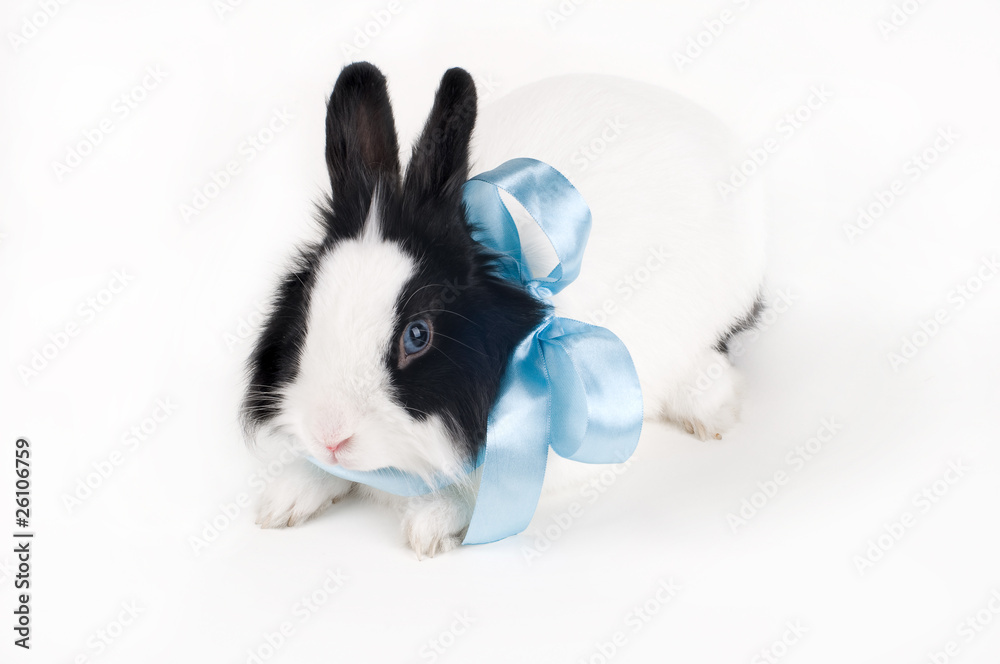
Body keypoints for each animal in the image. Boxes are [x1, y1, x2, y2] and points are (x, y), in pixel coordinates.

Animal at [241, 62, 767, 558]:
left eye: (418, 335)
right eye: (306, 316)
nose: (330, 436)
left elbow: (479, 492)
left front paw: (431, 523)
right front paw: (285, 498)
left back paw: (710, 413)